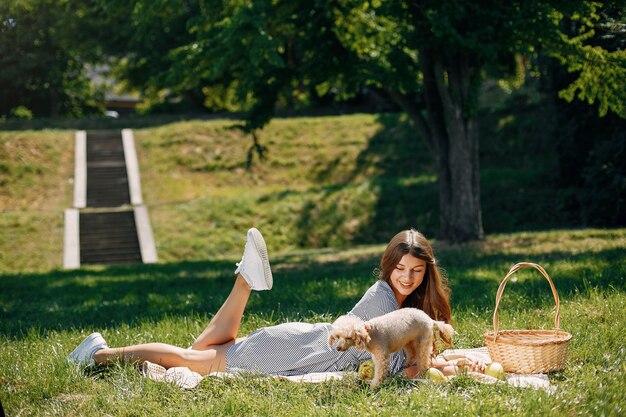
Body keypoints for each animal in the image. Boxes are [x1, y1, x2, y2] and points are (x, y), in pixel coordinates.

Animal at [326, 308, 454, 386]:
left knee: (423, 359)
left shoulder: (382, 356)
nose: (338, 348)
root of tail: (430, 320)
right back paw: (407, 364)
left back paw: (421, 374)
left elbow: (380, 371)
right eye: (338, 336)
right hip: (408, 342)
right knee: (412, 354)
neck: (370, 333)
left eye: (348, 338)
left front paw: (374, 386)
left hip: (423, 341)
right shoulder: (376, 356)